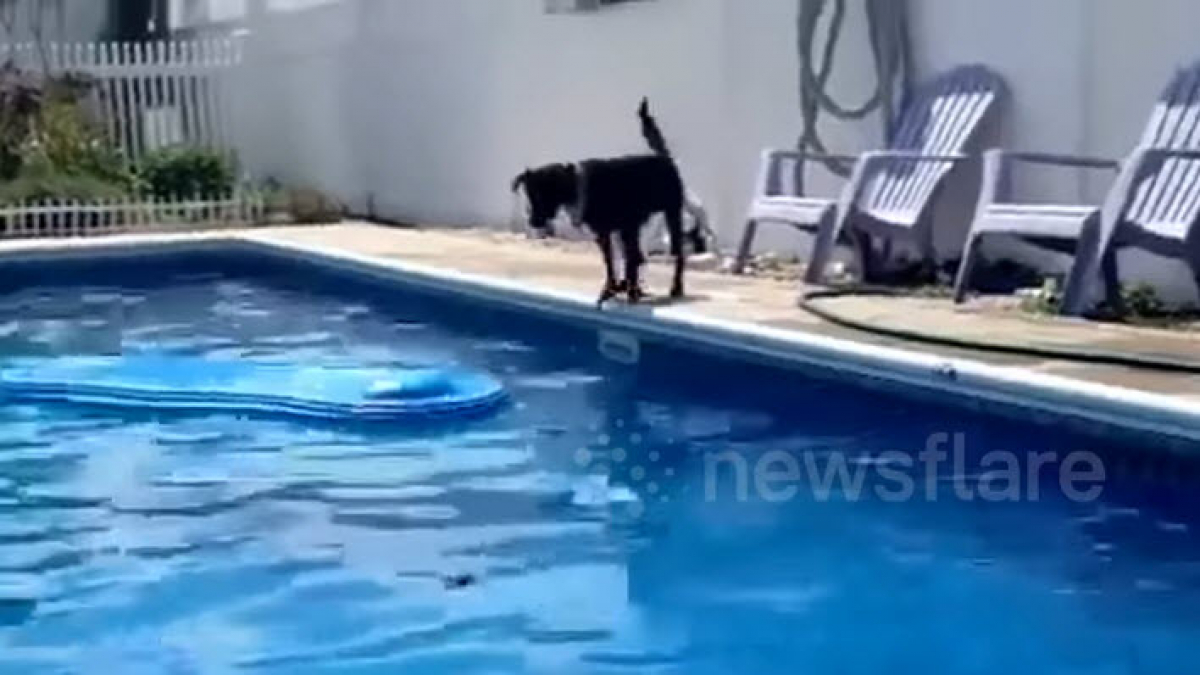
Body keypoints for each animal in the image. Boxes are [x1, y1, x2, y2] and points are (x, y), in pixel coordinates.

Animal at [508, 99, 700, 305]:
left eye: (540, 196)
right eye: (529, 196)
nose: (533, 222)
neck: (575, 183)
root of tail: (664, 157)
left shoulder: (626, 227)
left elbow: (629, 261)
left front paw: (628, 292)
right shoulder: (605, 233)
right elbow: (611, 263)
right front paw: (612, 289)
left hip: (671, 213)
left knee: (676, 254)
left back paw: (674, 287)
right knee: (639, 257)